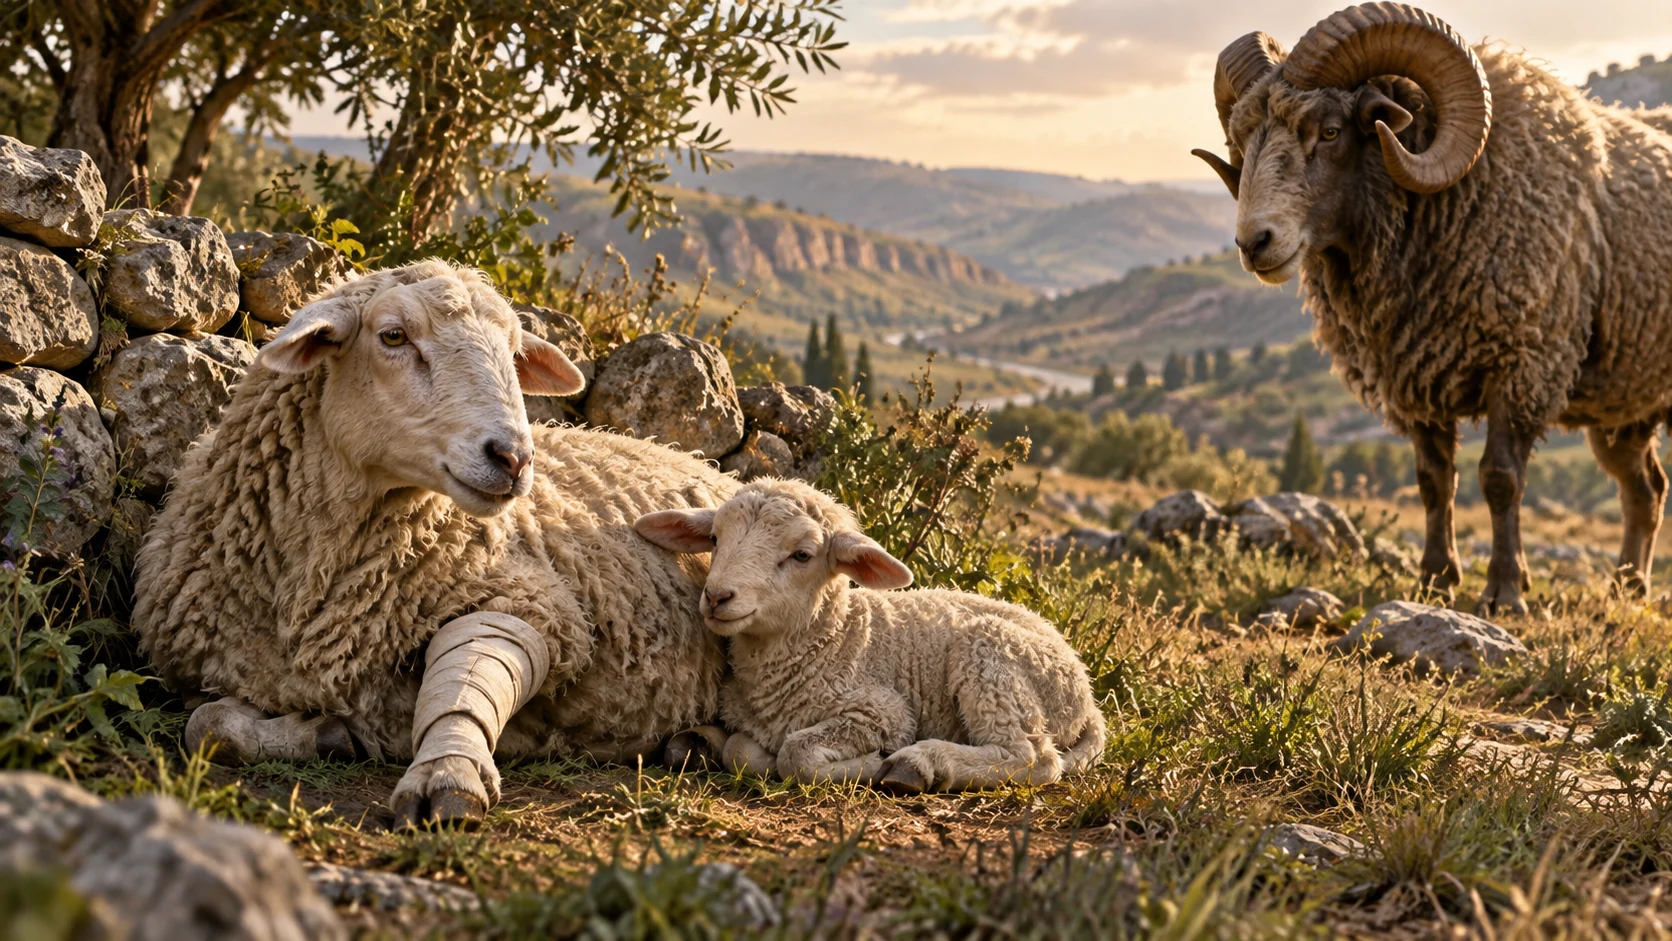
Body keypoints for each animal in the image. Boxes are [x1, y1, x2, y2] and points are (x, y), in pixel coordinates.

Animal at [132, 258, 740, 827]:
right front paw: (323, 733)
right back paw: (693, 744)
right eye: (393, 336)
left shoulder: (531, 601)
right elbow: (209, 726)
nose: (514, 458)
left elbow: (462, 693)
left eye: (513, 353)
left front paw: (446, 771)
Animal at [634, 479, 1106, 793]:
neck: (834, 641)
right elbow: (740, 747)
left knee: (1031, 757)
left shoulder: (883, 711)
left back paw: (919, 764)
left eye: (802, 555)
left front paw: (867, 765)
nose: (717, 596)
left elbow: (796, 754)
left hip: (991, 659)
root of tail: (1087, 695)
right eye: (715, 538)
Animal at [1191, 3, 1672, 614]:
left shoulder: (1523, 366)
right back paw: (1627, 589)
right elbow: (1433, 480)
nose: (1254, 243)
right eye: (1243, 137)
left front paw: (1505, 591)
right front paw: (1435, 581)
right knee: (1644, 490)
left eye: (1330, 130)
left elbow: (1500, 479)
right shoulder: (1413, 376)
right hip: (1624, 407)